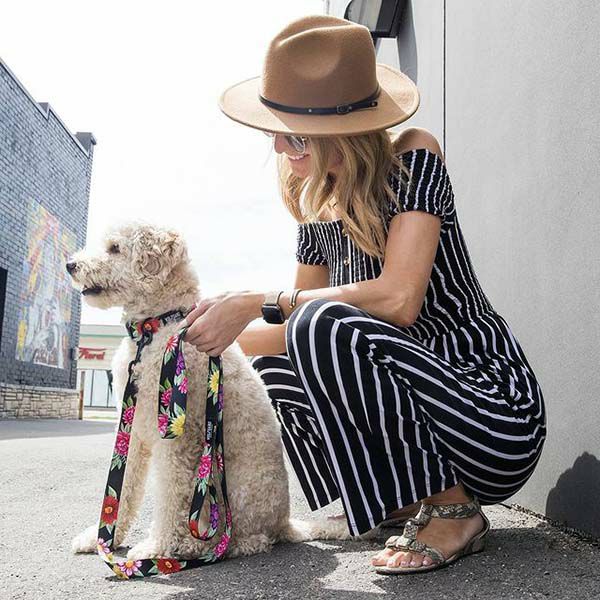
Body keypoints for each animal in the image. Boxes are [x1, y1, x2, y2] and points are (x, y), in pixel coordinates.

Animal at [68, 221, 356, 562]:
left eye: (114, 248)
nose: (71, 265)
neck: (157, 327)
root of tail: (285, 523)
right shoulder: (133, 430)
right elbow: (121, 487)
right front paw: (98, 538)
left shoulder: (178, 437)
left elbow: (170, 497)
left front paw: (158, 546)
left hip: (228, 488)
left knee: (245, 540)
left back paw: (195, 547)